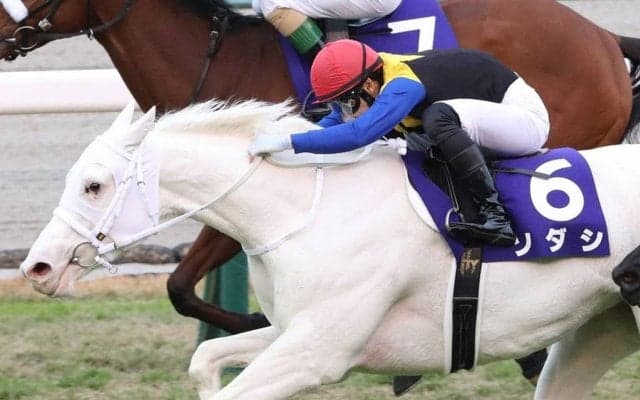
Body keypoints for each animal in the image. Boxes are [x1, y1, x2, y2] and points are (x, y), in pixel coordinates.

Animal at [19, 100, 640, 399]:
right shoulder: (290, 329)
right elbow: (206, 358)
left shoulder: (319, 353)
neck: (303, 211)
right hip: (599, 328)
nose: (36, 266)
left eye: (93, 185)